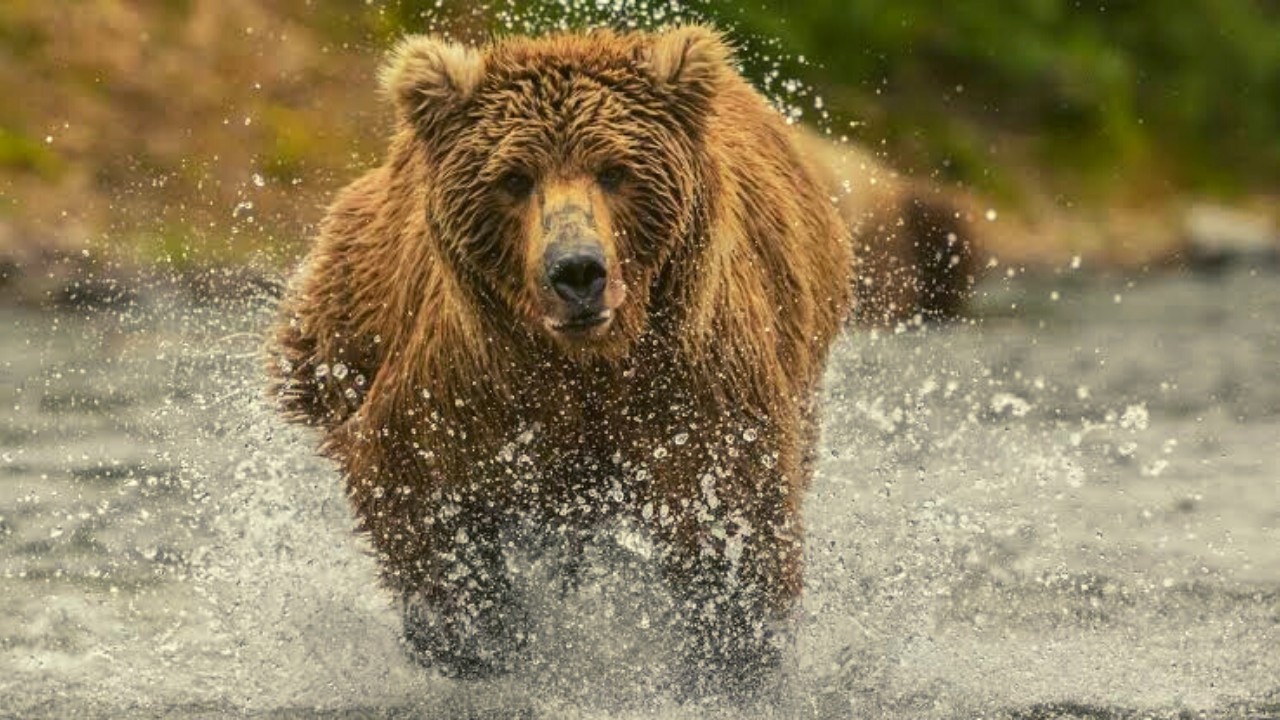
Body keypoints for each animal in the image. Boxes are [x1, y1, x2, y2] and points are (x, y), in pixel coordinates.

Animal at [267, 25, 853, 698]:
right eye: (514, 178)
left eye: (615, 170)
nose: (576, 271)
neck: (588, 363)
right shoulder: (470, 390)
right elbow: (427, 503)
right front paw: (479, 645)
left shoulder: (694, 378)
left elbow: (731, 519)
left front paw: (730, 659)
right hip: (340, 325)